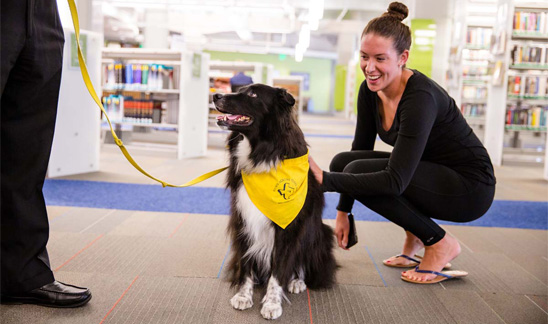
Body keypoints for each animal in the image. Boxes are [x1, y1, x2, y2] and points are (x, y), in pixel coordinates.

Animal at [212, 83, 336, 318]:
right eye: (240, 88)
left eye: (253, 94)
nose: (216, 95)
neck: (261, 152)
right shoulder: (243, 221)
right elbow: (246, 263)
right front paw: (244, 296)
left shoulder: (287, 228)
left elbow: (279, 270)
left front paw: (271, 303)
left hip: (318, 233)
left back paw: (297, 281)